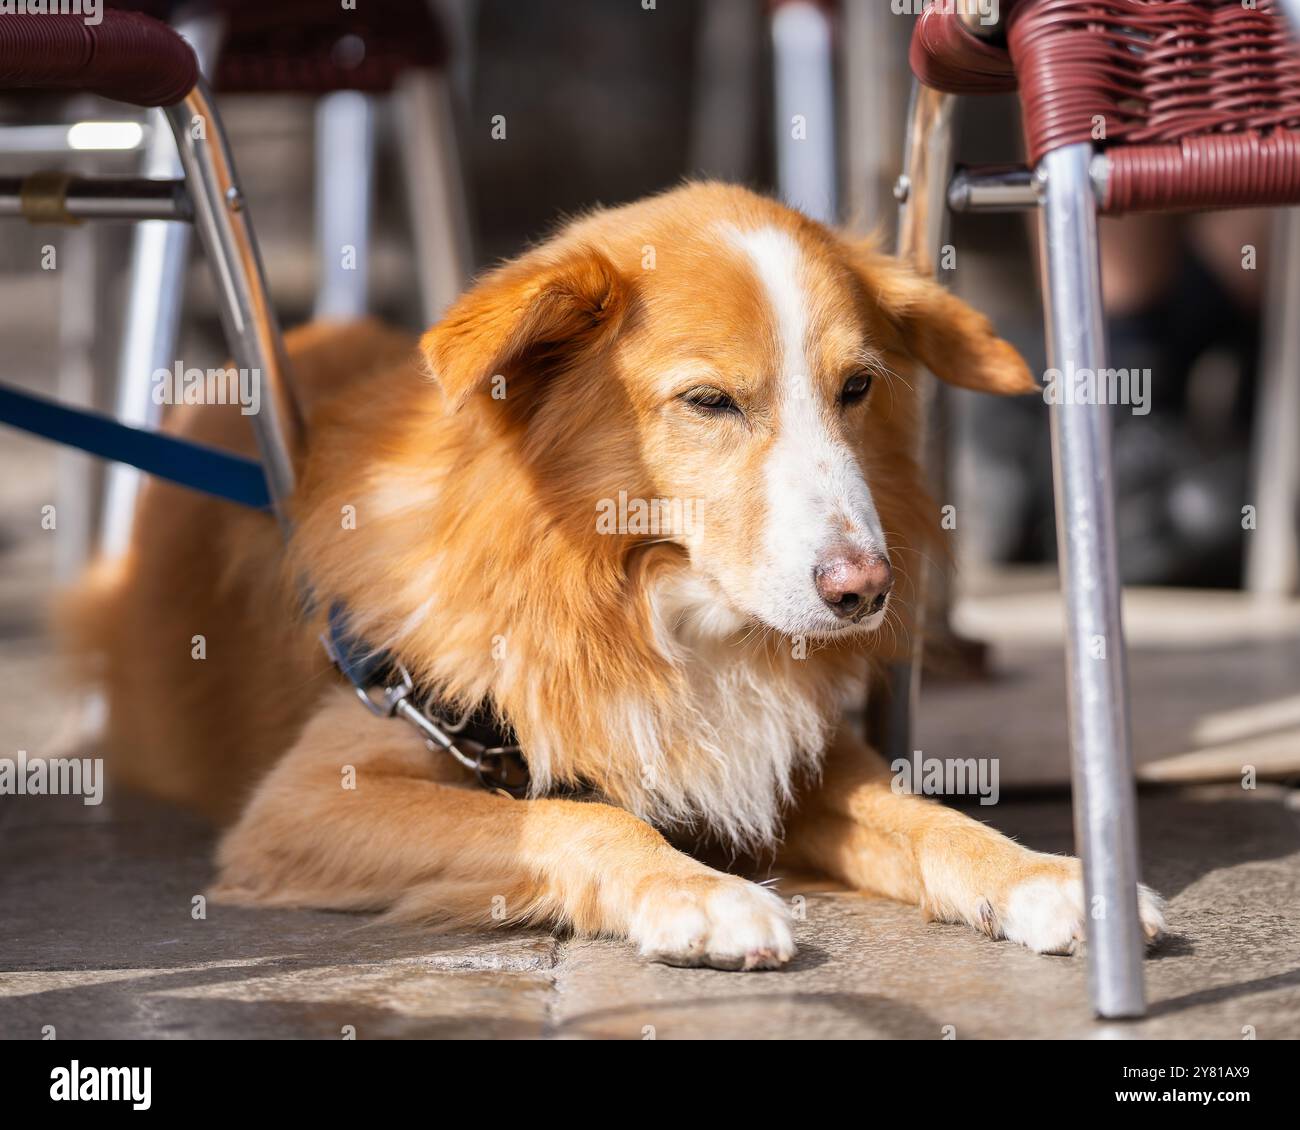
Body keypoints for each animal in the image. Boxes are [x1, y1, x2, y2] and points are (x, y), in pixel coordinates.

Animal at [63, 184, 1170, 967]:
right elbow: (574, 812)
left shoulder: (796, 758)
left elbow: (926, 815)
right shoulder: (306, 799)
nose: (864, 591)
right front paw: (699, 893)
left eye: (857, 387)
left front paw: (1050, 876)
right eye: (710, 401)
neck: (639, 599)